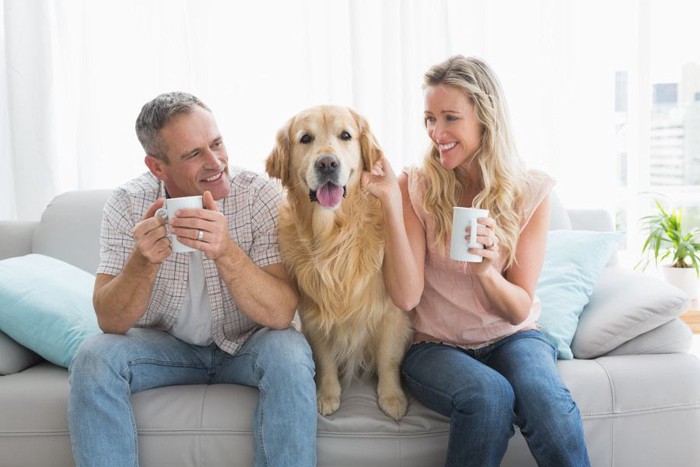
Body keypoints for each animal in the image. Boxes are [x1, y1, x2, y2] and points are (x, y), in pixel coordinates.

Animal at [266, 105, 412, 420]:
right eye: (305, 138)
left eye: (345, 135)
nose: (327, 164)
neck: (334, 235)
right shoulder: (313, 312)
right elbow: (325, 358)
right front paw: (328, 394)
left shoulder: (390, 310)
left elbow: (388, 357)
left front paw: (391, 397)